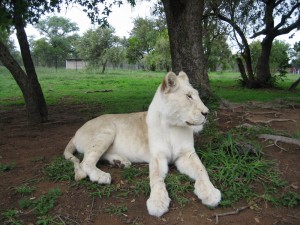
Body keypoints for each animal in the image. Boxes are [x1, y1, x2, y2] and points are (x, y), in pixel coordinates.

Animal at [64, 71, 221, 216]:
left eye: (197, 95)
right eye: (188, 96)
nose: (207, 113)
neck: (173, 126)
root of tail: (76, 132)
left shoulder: (187, 154)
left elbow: (201, 170)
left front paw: (210, 192)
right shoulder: (157, 156)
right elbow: (156, 178)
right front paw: (157, 202)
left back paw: (120, 162)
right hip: (107, 130)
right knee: (86, 162)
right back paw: (101, 176)